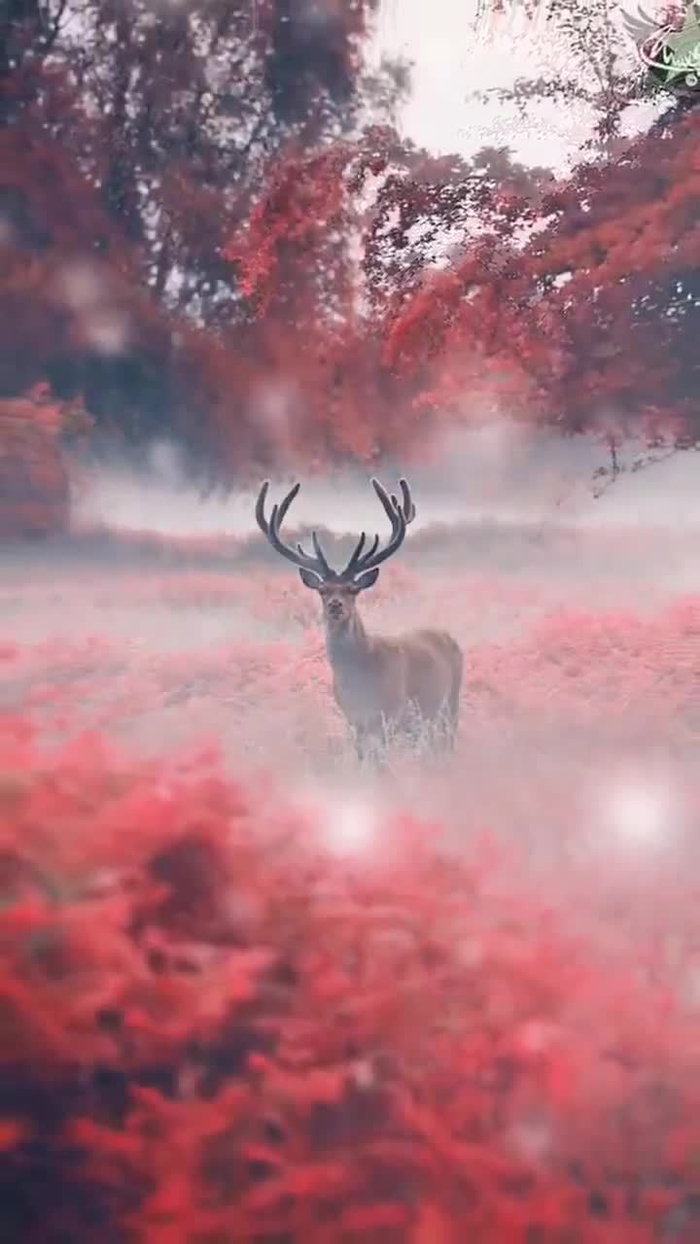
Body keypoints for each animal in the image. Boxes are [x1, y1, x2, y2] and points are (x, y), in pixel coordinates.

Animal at [255, 476, 463, 761]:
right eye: (323, 589)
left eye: (353, 589)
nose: (335, 605)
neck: (360, 675)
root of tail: (447, 636)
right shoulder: (354, 720)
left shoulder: (391, 713)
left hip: (449, 704)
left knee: (445, 741)